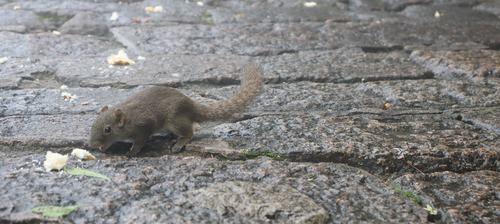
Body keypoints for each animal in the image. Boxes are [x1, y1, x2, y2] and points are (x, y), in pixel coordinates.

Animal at [89, 64, 264, 156]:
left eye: (108, 129)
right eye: (93, 125)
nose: (92, 145)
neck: (129, 118)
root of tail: (192, 106)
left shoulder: (143, 126)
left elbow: (140, 141)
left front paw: (132, 151)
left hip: (175, 120)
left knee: (190, 133)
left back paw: (179, 143)